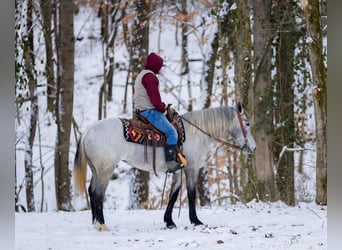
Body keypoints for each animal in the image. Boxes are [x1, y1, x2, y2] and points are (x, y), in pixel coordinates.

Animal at [75, 103, 256, 230]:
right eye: (247, 123)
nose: (253, 148)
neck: (195, 133)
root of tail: (89, 130)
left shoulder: (178, 170)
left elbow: (173, 195)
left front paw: (169, 222)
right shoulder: (192, 168)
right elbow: (191, 194)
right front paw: (196, 221)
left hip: (96, 169)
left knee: (91, 191)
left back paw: (95, 223)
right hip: (105, 169)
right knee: (98, 194)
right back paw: (102, 224)